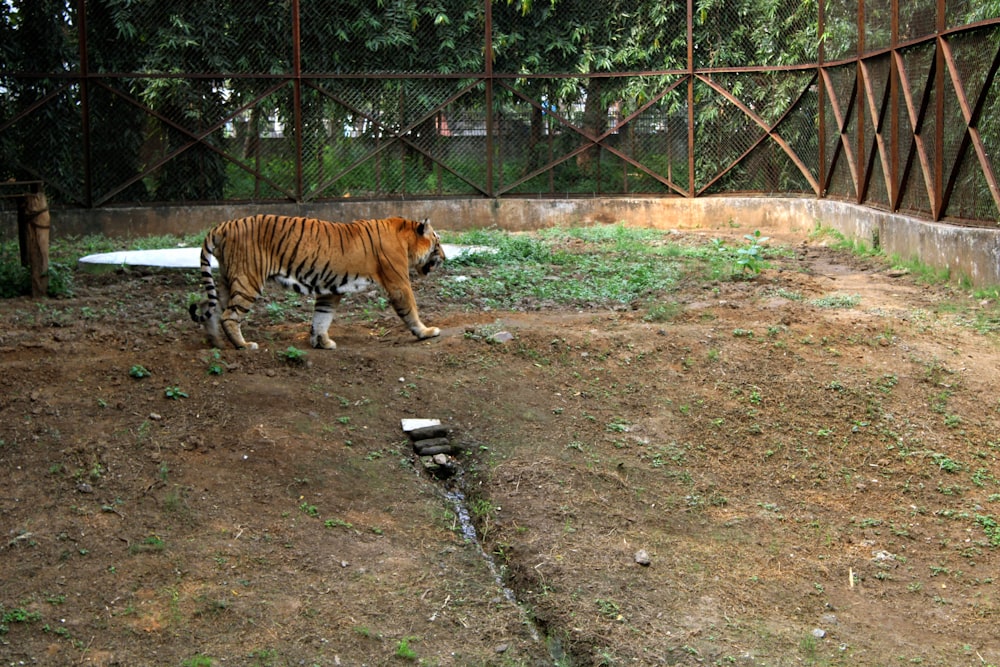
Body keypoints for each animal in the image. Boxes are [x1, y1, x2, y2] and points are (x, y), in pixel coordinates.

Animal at [189, 215, 448, 352]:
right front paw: (426, 332)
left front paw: (321, 342)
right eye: (437, 243)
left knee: (207, 306)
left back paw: (215, 342)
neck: (406, 236)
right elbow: (410, 308)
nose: (445, 258)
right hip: (248, 279)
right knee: (229, 315)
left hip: (227, 279)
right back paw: (243, 344)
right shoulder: (398, 282)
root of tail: (224, 225)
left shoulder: (331, 289)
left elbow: (322, 317)